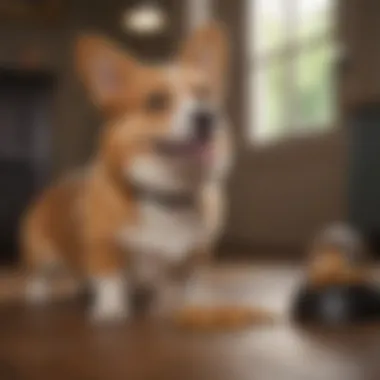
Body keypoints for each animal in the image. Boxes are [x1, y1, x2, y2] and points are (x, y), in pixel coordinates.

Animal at [23, 22, 235, 322]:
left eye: (203, 94)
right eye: (156, 101)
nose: (207, 117)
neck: (165, 193)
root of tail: (55, 185)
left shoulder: (195, 255)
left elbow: (179, 283)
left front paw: (172, 307)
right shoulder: (103, 246)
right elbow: (110, 278)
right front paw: (111, 311)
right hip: (41, 252)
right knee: (38, 276)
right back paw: (38, 296)